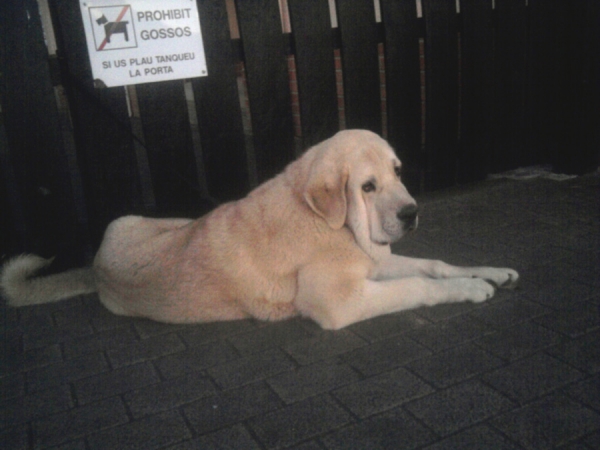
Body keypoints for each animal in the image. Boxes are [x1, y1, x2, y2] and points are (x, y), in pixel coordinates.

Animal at [0, 130, 516, 330]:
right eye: (368, 186)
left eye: (398, 171)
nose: (411, 212)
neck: (328, 220)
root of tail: (95, 266)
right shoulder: (339, 301)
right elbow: (418, 286)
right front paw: (472, 289)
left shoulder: (374, 262)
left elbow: (436, 264)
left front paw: (490, 272)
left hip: (166, 221)